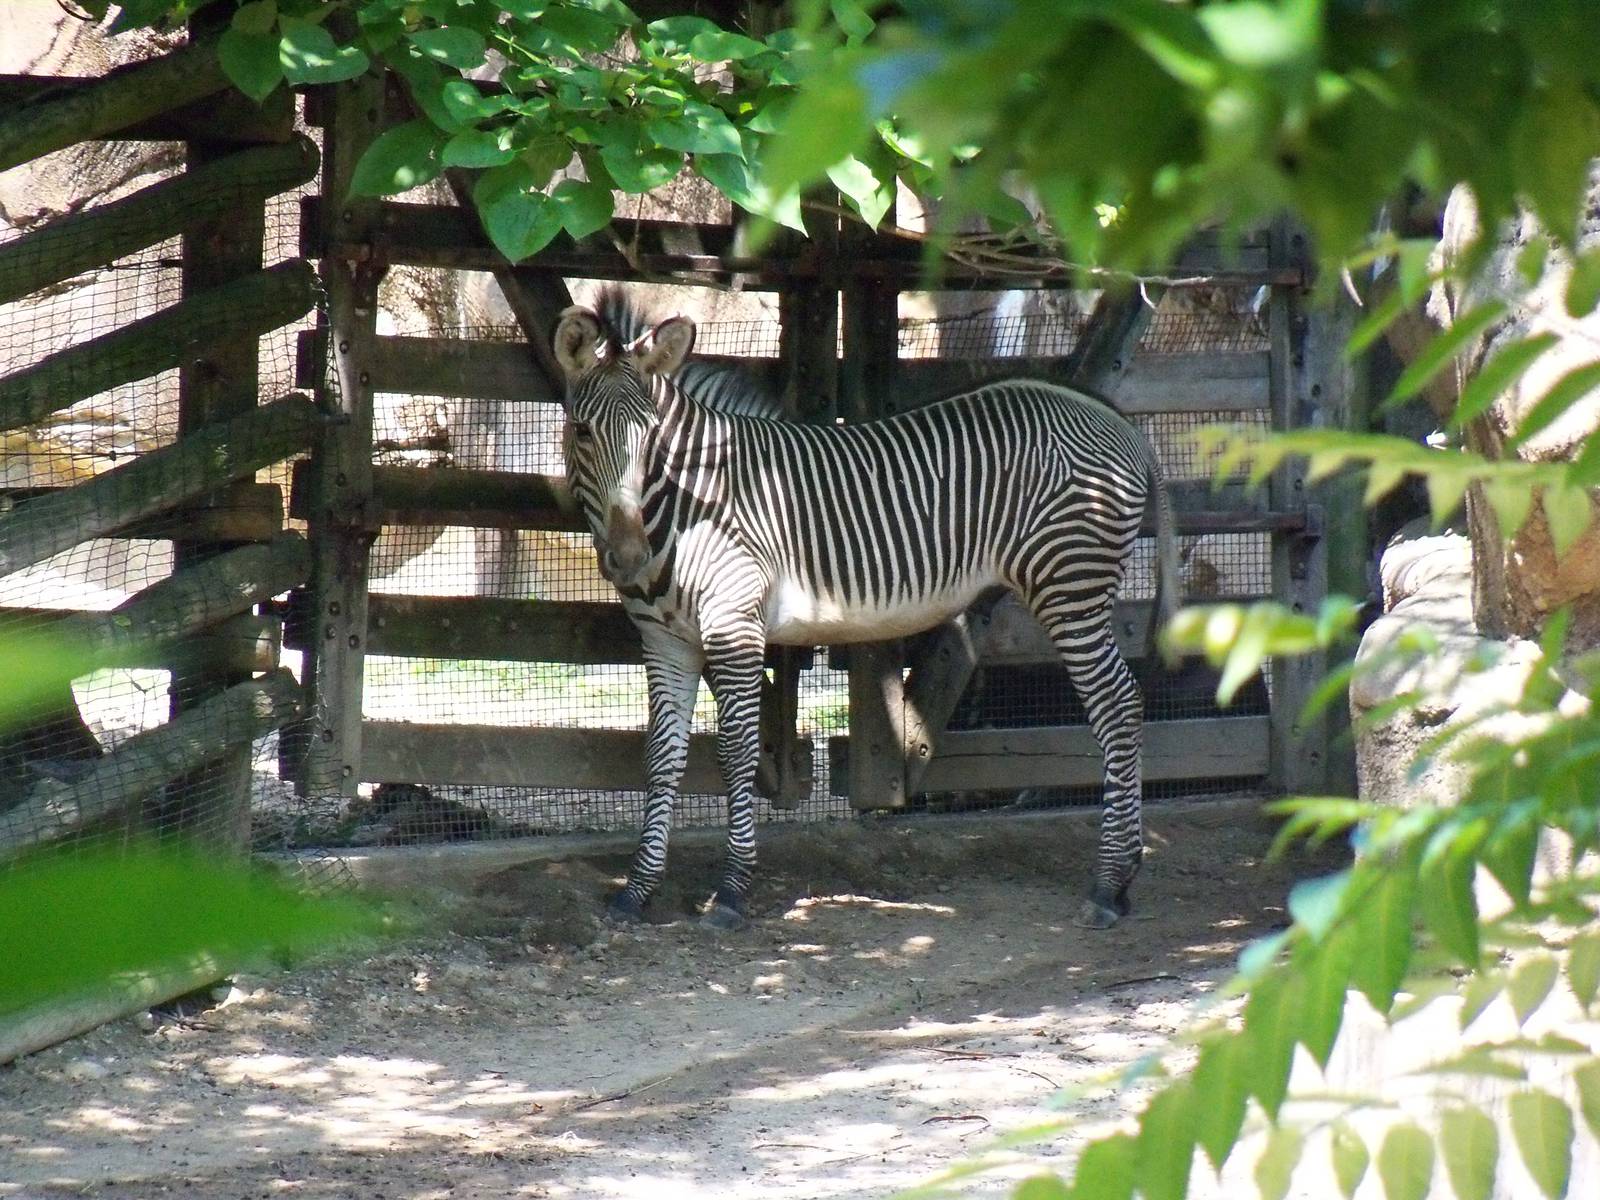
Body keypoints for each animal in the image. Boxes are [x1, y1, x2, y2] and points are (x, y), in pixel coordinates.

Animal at [551, 296, 1181, 931]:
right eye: (582, 431)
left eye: (651, 439)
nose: (629, 559)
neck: (687, 503)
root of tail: (1117, 420)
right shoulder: (665, 639)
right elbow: (660, 756)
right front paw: (637, 890)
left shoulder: (734, 627)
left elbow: (737, 752)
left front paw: (730, 891)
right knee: (1122, 704)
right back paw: (1123, 875)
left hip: (1069, 582)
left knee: (1118, 706)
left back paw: (1109, 884)